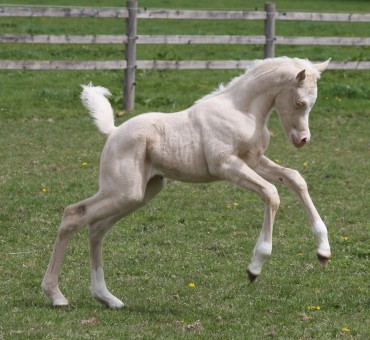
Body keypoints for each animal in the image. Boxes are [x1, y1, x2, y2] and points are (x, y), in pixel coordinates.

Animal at [42, 56, 332, 308]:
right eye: (299, 102)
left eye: (313, 103)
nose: (302, 140)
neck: (242, 110)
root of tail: (113, 133)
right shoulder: (227, 165)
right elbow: (271, 193)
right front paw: (254, 267)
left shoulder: (253, 161)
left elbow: (295, 178)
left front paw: (323, 251)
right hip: (123, 191)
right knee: (74, 214)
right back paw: (56, 295)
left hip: (141, 193)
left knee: (96, 229)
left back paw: (106, 298)